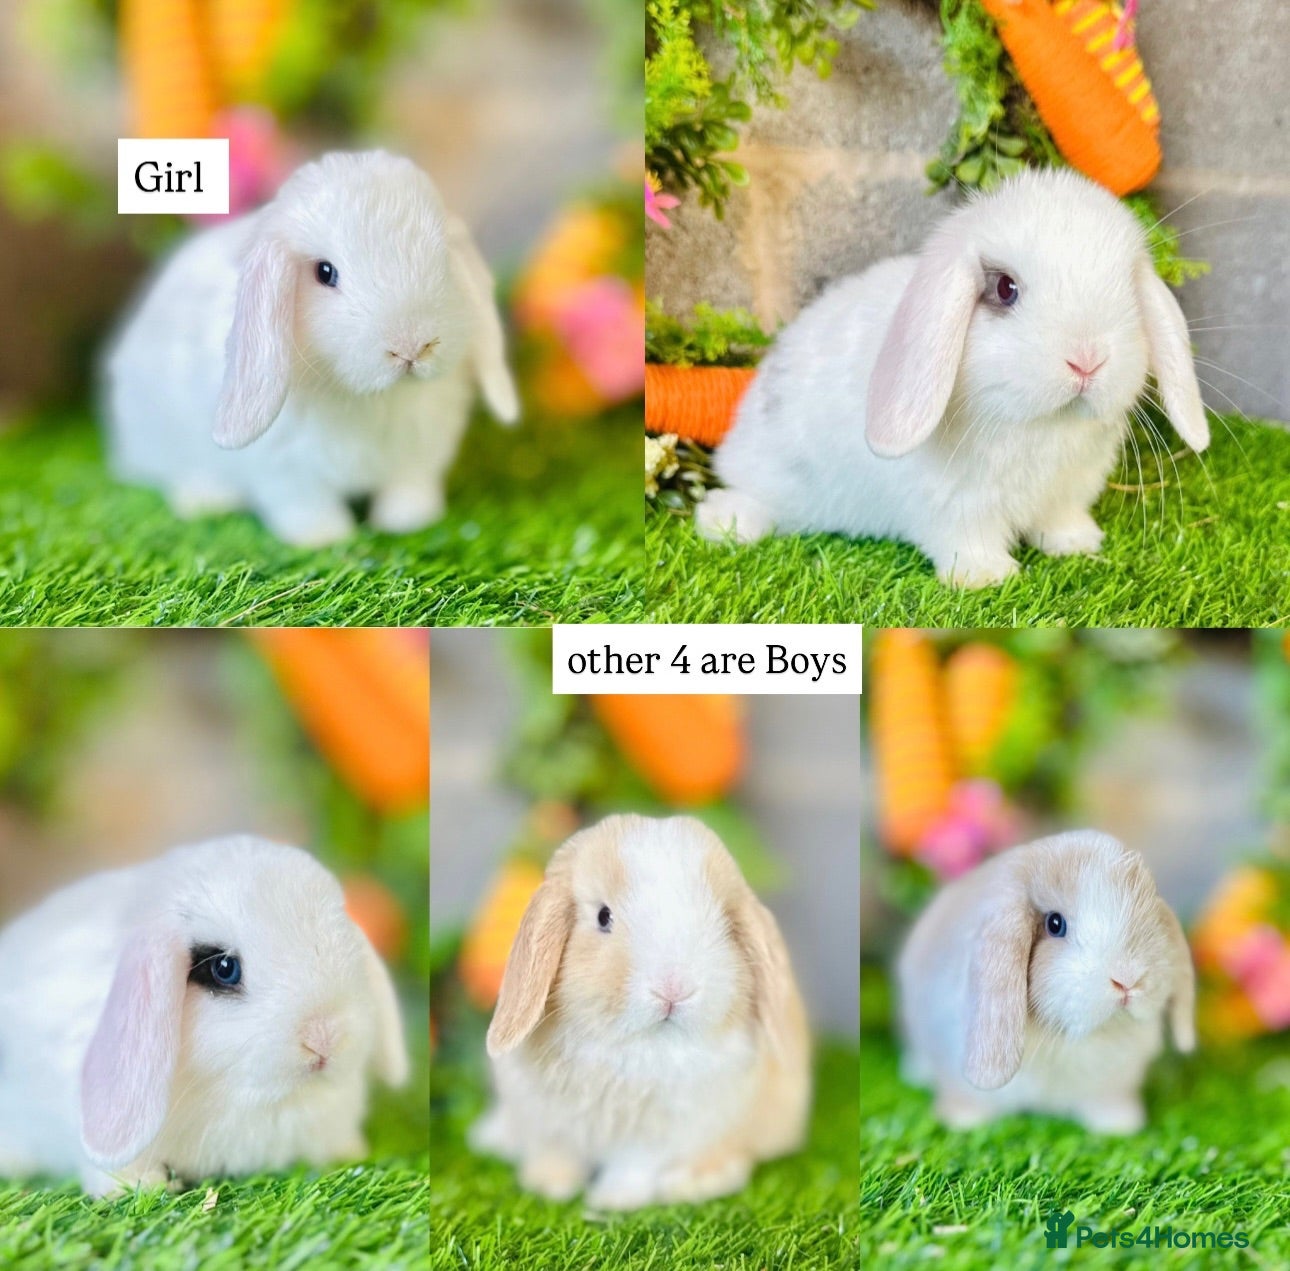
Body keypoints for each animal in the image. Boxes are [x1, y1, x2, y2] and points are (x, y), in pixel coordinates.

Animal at [102, 149, 519, 547]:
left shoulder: (420, 454)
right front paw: (324, 538)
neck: (372, 398)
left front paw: (408, 522)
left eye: (445, 262)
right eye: (325, 272)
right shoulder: (286, 470)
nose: (412, 346)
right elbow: (306, 503)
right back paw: (206, 499)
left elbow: (409, 487)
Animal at [470, 814, 811, 1210]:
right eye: (603, 916)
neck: (636, 1046)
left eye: (726, 923)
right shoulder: (548, 1121)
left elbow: (633, 1166)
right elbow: (556, 1153)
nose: (674, 987)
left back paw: (692, 1183)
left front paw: (612, 1202)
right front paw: (549, 1187)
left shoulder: (657, 1135)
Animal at [695, 168, 1209, 588]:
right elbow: (966, 539)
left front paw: (1078, 544)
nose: (1087, 361)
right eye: (1004, 288)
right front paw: (986, 577)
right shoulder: (952, 505)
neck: (1040, 425)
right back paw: (722, 522)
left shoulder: (1066, 492)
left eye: (1129, 290)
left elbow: (1060, 520)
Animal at [897, 830, 1195, 1134]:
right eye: (1055, 924)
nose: (1127, 979)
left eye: (1150, 919)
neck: (1064, 1037)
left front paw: (1120, 1125)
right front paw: (962, 1121)